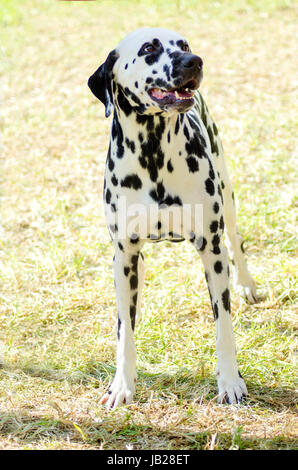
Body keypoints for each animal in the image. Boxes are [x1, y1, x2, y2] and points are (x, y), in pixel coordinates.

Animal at [87, 27, 258, 410]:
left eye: (184, 45)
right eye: (148, 48)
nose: (194, 61)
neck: (154, 155)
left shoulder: (212, 251)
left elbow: (223, 325)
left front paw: (230, 382)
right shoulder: (124, 255)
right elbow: (125, 331)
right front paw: (122, 385)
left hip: (227, 197)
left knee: (236, 241)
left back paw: (248, 285)